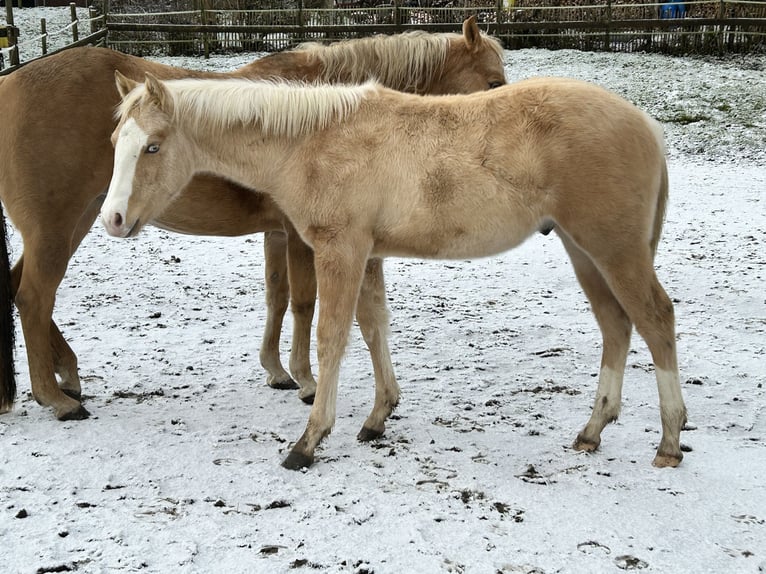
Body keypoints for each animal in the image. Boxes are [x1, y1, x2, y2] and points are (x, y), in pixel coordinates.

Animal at [0, 16, 508, 424]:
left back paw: (66, 374)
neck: (319, 113)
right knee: (33, 297)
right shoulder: (301, 236)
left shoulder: (276, 233)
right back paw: (55, 398)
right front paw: (305, 380)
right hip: (58, 228)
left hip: (81, 219)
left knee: (20, 287)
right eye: (492, 83)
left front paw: (276, 370)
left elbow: (276, 297)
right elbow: (304, 302)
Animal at [103, 74, 688, 472]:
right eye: (115, 144)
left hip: (613, 249)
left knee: (656, 320)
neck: (312, 142)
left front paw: (309, 440)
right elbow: (374, 328)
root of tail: (645, 124)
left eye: (153, 146)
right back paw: (592, 430)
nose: (112, 220)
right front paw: (378, 417)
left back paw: (669, 442)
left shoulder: (340, 250)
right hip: (584, 250)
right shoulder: (369, 256)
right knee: (616, 325)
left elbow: (331, 338)